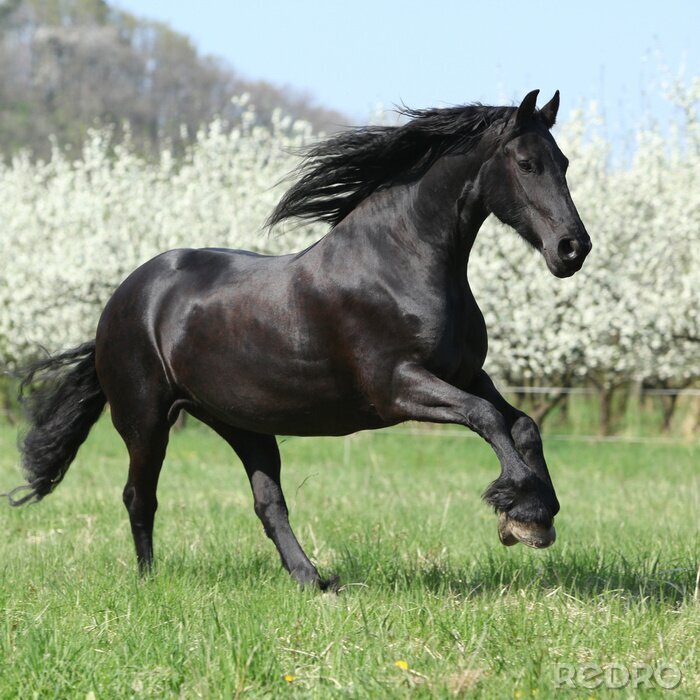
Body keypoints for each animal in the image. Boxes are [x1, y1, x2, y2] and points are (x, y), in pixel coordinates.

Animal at [8, 89, 591, 589]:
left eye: (563, 163)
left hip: (244, 425)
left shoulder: (467, 373)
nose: (573, 249)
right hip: (145, 419)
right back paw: (149, 581)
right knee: (139, 496)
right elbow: (487, 418)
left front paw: (538, 513)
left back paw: (314, 580)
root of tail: (121, 301)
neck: (400, 262)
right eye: (527, 164)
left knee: (268, 504)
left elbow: (522, 424)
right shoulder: (398, 387)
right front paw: (522, 513)